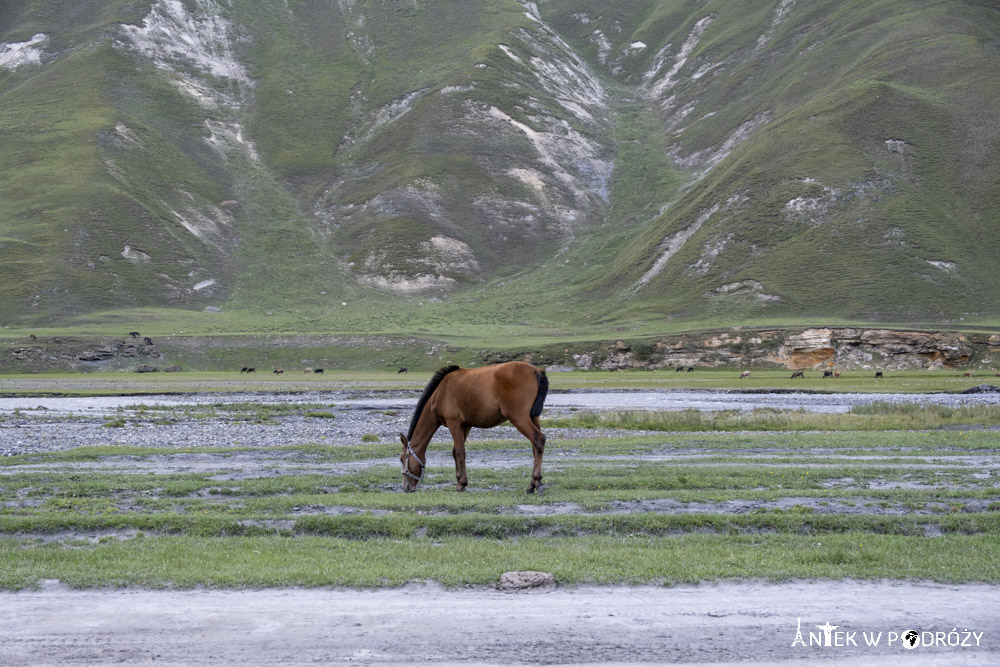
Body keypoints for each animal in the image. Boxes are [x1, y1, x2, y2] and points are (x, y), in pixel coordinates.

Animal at [398, 362, 552, 494]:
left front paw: (461, 484)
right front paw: (460, 481)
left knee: (538, 440)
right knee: (536, 447)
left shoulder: (454, 424)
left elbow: (460, 452)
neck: (439, 393)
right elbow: (455, 452)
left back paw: (536, 482)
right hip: (533, 417)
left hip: (519, 418)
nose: (405, 487)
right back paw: (532, 484)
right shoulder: (465, 426)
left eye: (401, 459)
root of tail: (536, 371)